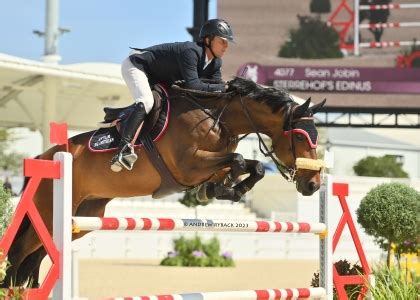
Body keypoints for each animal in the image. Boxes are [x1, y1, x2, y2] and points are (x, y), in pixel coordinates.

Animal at [0, 77, 324, 288]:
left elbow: (249, 165)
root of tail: (45, 156)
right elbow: (240, 160)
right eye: (299, 137)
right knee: (19, 253)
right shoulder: (188, 165)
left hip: (81, 216)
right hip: (48, 213)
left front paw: (223, 189)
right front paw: (228, 186)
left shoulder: (205, 165)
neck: (218, 117)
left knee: (37, 256)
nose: (314, 185)